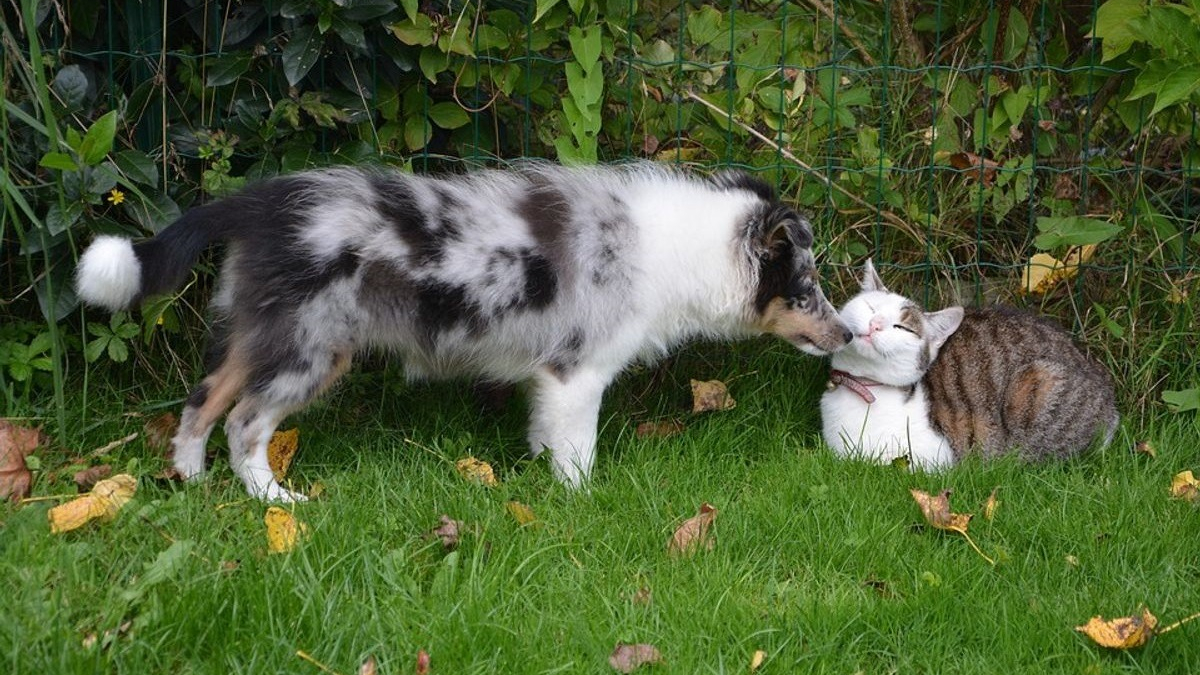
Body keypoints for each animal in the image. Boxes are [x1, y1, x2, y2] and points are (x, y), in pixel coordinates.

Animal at [77, 162, 854, 499]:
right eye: (807, 289)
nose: (847, 336)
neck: (676, 249)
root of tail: (258, 205)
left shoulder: (552, 378)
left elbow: (545, 431)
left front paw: (539, 468)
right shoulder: (579, 372)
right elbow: (579, 450)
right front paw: (582, 504)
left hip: (255, 330)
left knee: (202, 399)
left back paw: (189, 478)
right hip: (311, 348)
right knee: (243, 422)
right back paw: (276, 502)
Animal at [820, 258, 1118, 468]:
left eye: (902, 328)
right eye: (870, 307)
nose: (876, 324)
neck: (861, 386)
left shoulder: (929, 459)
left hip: (1038, 382)